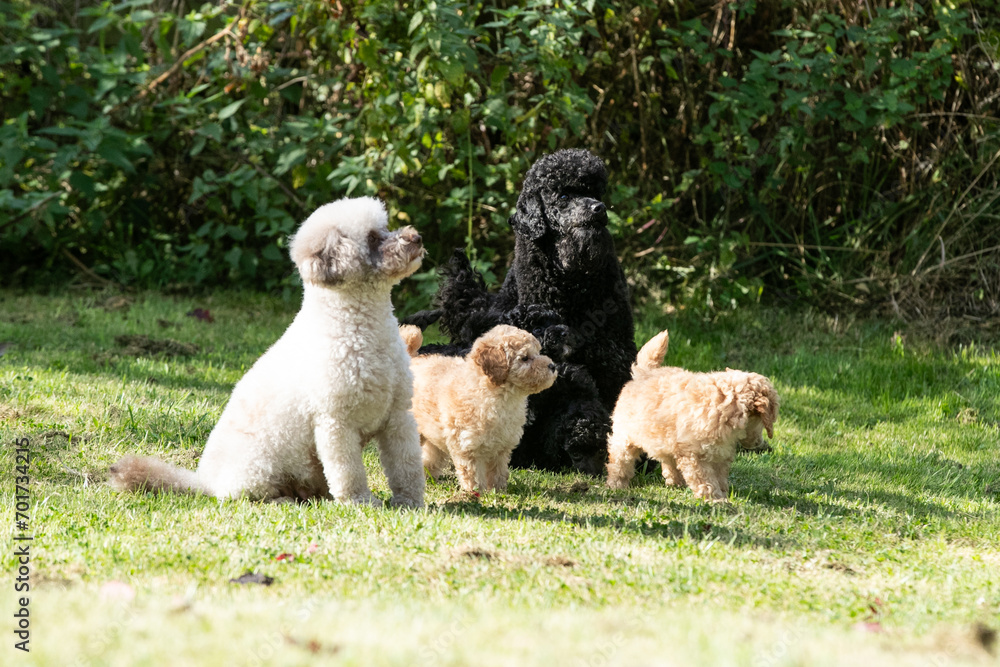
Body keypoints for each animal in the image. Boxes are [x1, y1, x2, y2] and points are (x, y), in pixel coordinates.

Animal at [109, 197, 426, 507]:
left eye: (385, 227)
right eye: (372, 238)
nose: (416, 237)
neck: (364, 331)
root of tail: (204, 483)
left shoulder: (398, 416)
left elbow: (407, 466)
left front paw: (410, 503)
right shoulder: (336, 424)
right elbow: (349, 473)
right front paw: (360, 502)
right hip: (259, 468)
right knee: (246, 495)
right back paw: (283, 501)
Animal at [399, 324, 557, 493]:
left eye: (538, 352)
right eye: (525, 358)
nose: (553, 366)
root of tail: (412, 359)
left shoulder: (502, 446)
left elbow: (498, 471)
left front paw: (498, 491)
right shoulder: (467, 445)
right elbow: (472, 472)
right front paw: (475, 492)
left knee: (432, 455)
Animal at [605, 330, 779, 501]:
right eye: (762, 423)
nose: (758, 443)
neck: (724, 404)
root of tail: (644, 373)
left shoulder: (719, 454)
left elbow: (720, 475)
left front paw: (722, 493)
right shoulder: (694, 454)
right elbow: (705, 479)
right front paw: (715, 499)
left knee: (668, 460)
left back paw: (676, 482)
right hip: (625, 435)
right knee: (620, 461)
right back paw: (616, 484)